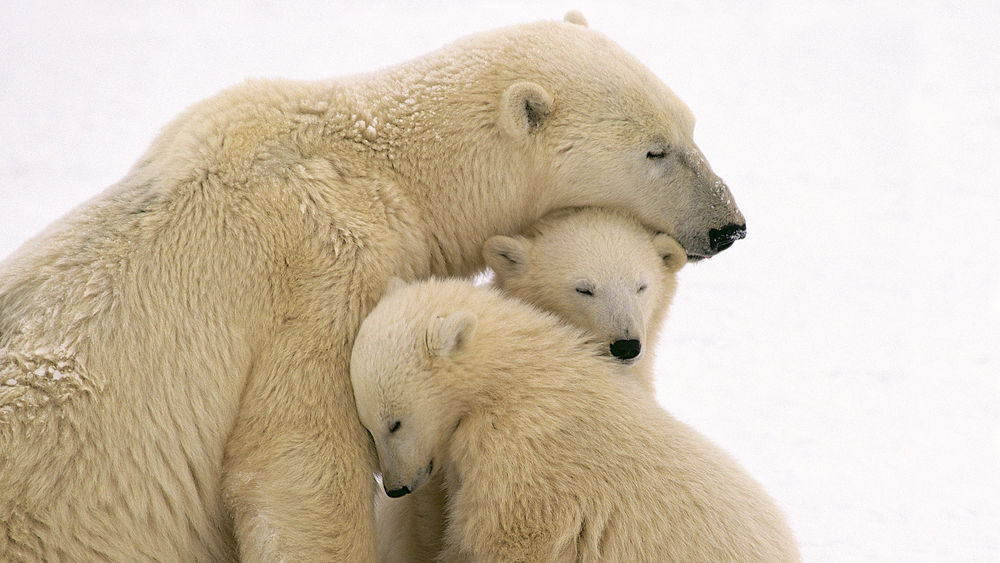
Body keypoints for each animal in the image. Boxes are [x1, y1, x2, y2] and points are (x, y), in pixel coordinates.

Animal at [0, 11, 744, 560]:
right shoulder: (319, 270)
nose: (730, 225)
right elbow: (298, 465)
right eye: (655, 150)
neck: (377, 164)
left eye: (691, 126)